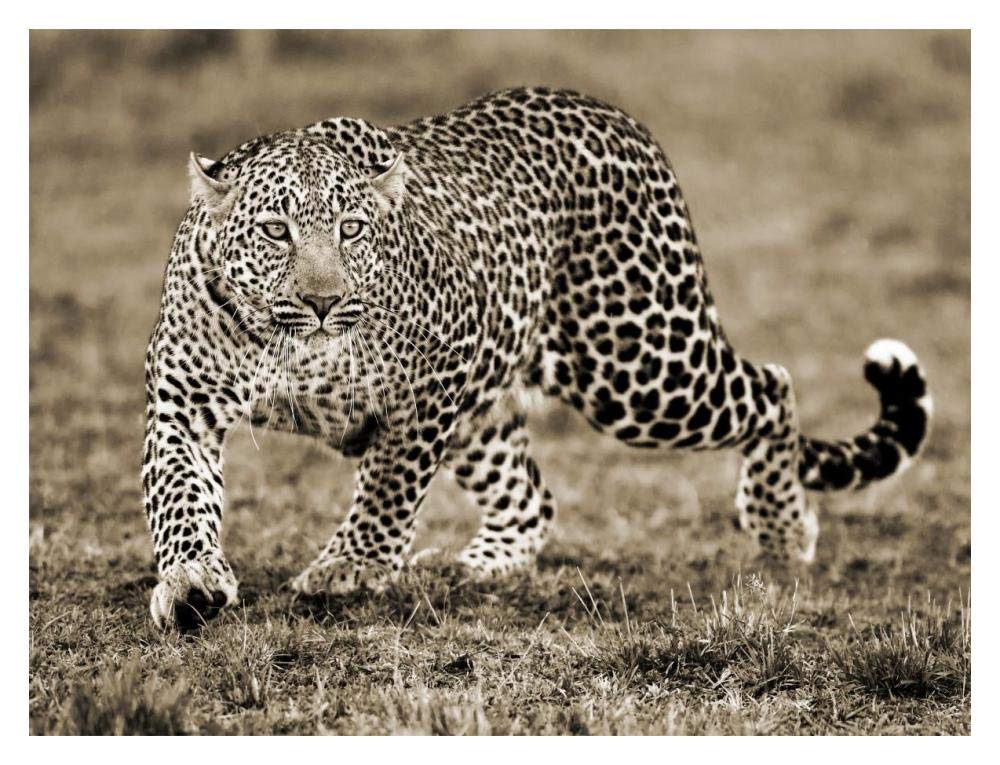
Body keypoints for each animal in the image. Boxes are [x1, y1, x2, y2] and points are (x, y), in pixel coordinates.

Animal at [143, 87, 932, 630]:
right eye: (275, 230)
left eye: (353, 229)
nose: (323, 302)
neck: (294, 348)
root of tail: (616, 116)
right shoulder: (182, 401)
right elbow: (179, 496)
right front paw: (191, 583)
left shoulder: (434, 379)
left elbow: (389, 487)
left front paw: (349, 566)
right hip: (498, 405)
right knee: (530, 495)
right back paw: (479, 566)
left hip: (641, 366)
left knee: (772, 387)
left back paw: (782, 528)